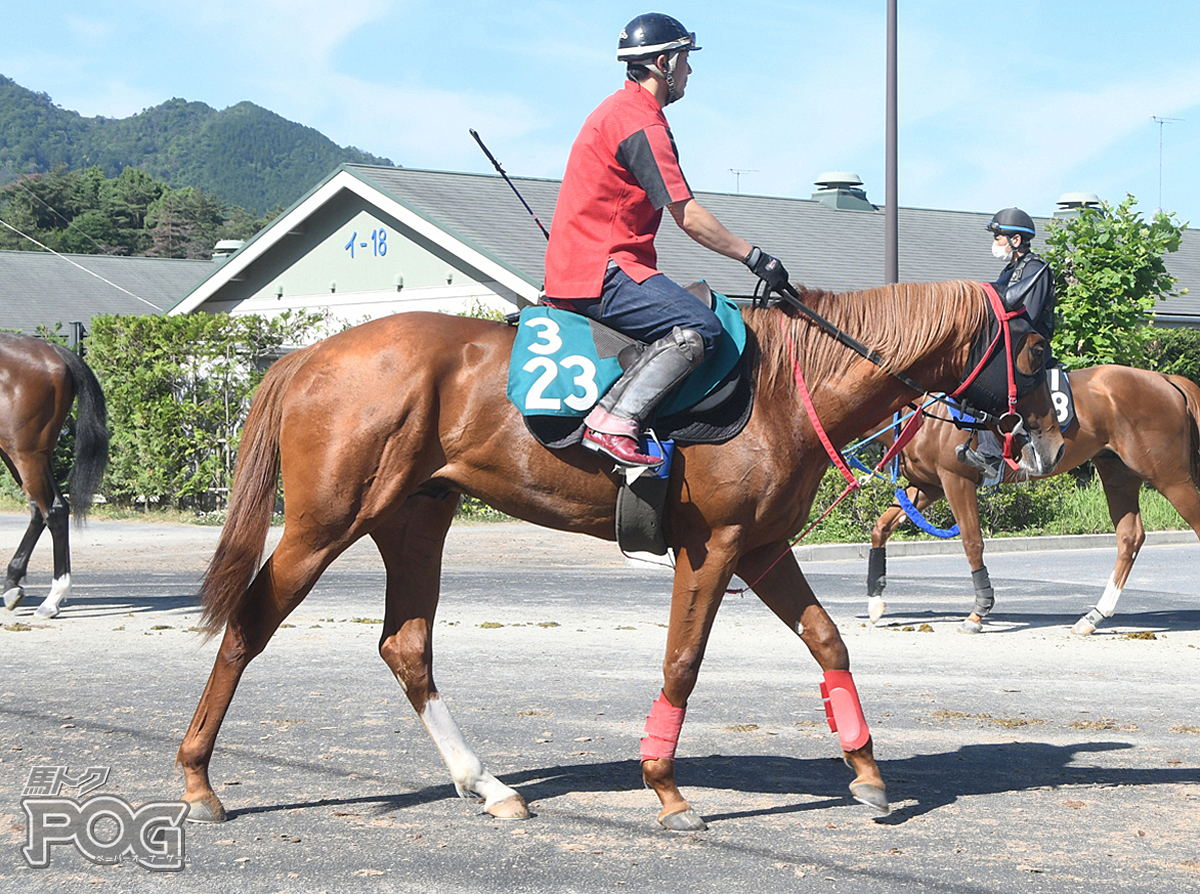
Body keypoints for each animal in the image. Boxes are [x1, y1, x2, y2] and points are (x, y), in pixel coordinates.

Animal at [0, 331, 109, 619]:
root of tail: (54, 351)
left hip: (25, 454)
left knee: (53, 513)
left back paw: (52, 598)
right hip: (31, 455)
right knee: (48, 509)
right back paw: (14, 583)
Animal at [175, 280, 1060, 830]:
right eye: (1029, 348)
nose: (1045, 442)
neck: (782, 387)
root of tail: (306, 356)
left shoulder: (764, 548)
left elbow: (828, 640)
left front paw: (868, 773)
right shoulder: (714, 548)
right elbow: (683, 663)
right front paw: (666, 788)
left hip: (415, 519)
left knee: (406, 646)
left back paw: (487, 784)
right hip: (325, 523)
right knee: (249, 625)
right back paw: (198, 778)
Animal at [868, 362, 1200, 633]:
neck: (925, 415)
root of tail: (1165, 379)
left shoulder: (955, 480)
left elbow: (972, 542)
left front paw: (978, 612)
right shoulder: (929, 486)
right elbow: (881, 527)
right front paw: (874, 599)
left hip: (1170, 476)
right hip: (1119, 474)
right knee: (1130, 537)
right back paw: (1093, 616)